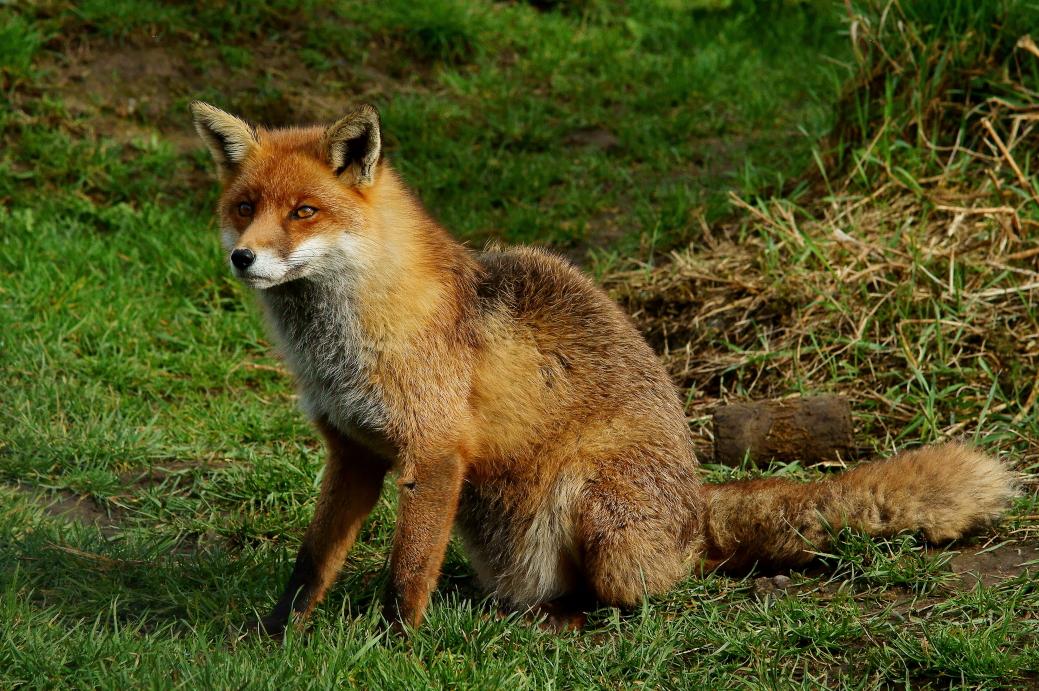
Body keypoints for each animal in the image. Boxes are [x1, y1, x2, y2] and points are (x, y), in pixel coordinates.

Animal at [191, 99, 1018, 631]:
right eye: (244, 207)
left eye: (304, 212)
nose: (243, 258)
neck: (344, 341)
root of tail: (697, 501)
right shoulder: (353, 451)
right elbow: (310, 563)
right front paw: (274, 638)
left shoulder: (433, 452)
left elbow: (408, 573)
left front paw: (395, 649)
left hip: (589, 500)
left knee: (652, 589)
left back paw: (566, 621)